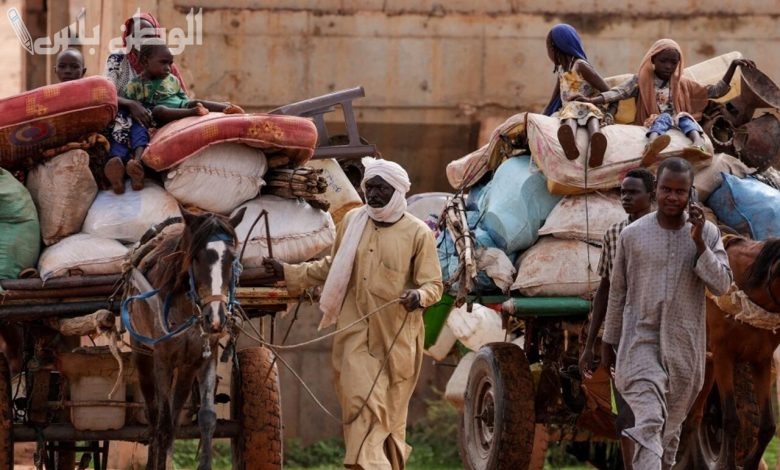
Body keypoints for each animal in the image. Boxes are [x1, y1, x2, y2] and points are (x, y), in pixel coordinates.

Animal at [122, 209, 245, 470]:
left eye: (232, 258)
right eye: (196, 257)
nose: (215, 318)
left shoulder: (201, 358)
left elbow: (206, 417)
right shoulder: (163, 359)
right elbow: (163, 422)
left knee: (175, 413)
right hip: (142, 354)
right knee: (154, 415)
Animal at [688, 237, 780, 468]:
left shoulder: (761, 360)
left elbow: (768, 426)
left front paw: (750, 464)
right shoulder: (723, 356)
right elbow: (731, 420)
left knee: (693, 417)